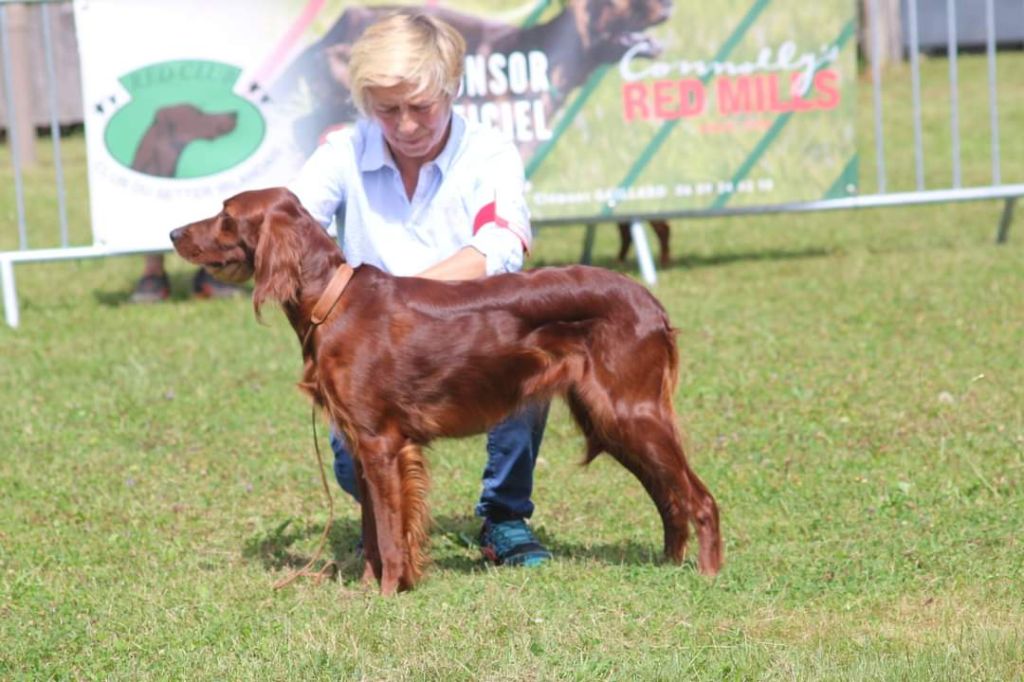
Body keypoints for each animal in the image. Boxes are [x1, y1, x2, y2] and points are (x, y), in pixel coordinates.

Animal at [169, 187, 720, 593]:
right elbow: (373, 530)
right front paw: (369, 588)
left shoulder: (382, 444)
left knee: (699, 498)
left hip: (629, 411)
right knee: (668, 496)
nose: (173, 232)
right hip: (611, 420)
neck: (332, 301)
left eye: (225, 215)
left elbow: (390, 534)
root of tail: (649, 301)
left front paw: (388, 593)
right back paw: (669, 564)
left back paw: (708, 573)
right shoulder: (363, 446)